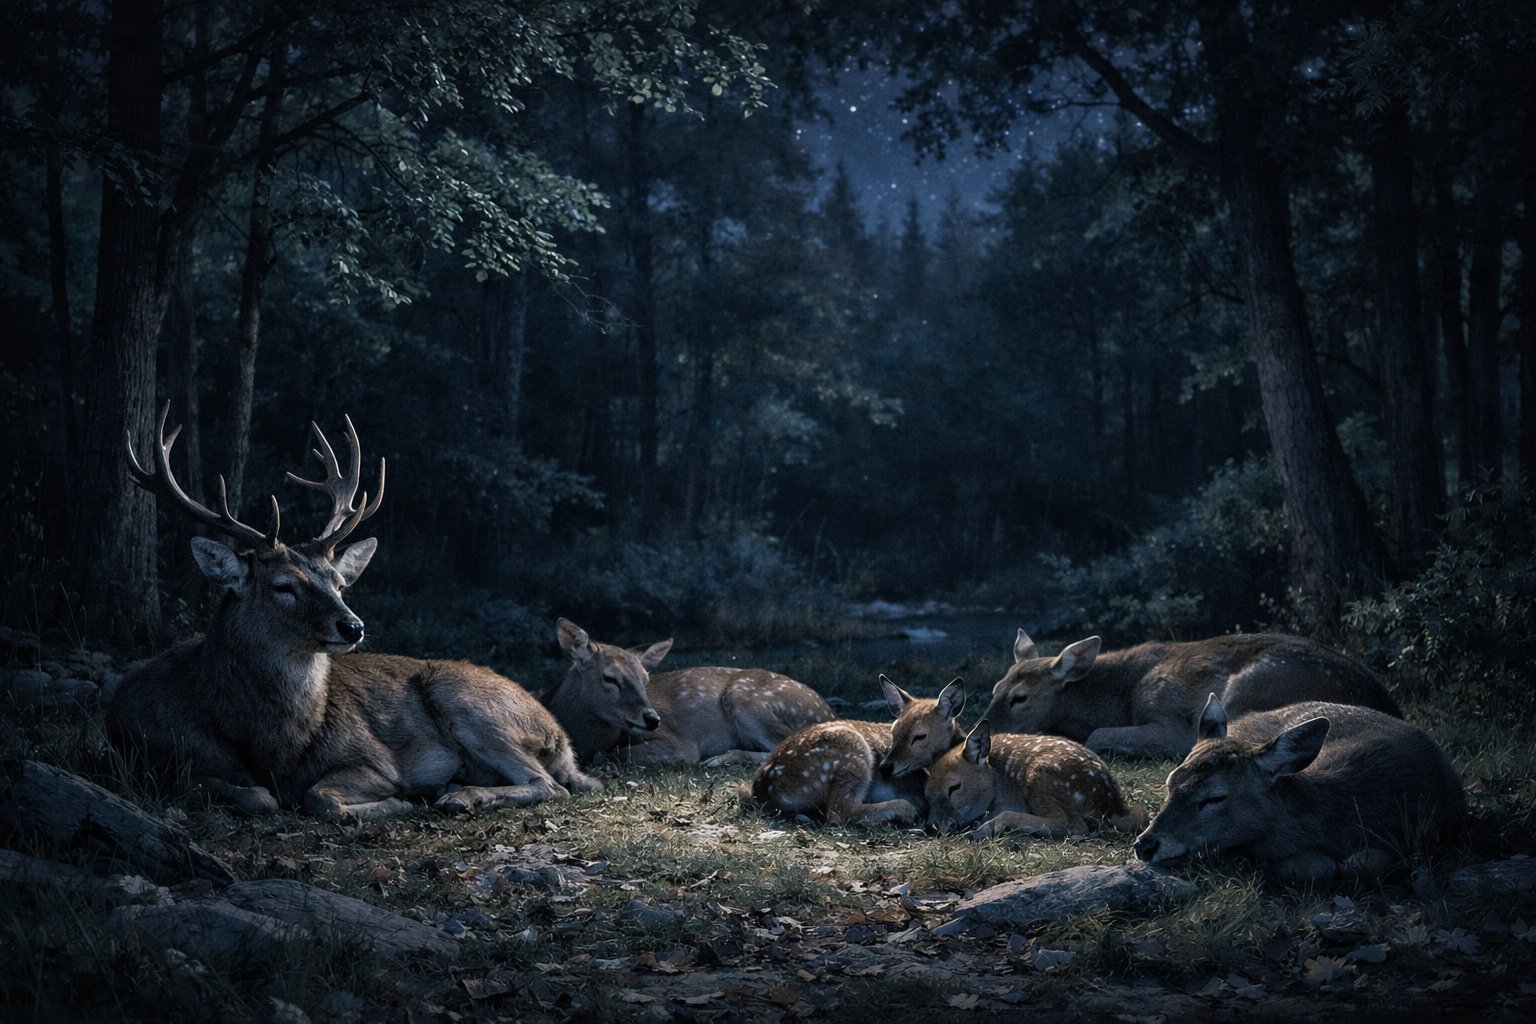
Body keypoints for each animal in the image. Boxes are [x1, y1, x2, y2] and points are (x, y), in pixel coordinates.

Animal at [106, 402, 598, 820]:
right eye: (283, 586)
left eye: (339, 582)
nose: (354, 626)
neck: (267, 743)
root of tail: (559, 734)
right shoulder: (153, 756)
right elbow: (245, 793)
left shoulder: (372, 758)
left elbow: (318, 797)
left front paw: (400, 801)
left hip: (467, 700)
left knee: (551, 784)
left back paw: (458, 795)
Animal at [543, 618, 834, 767]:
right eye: (609, 677)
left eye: (645, 679)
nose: (652, 719)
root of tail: (827, 714)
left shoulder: (680, 743)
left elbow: (618, 755)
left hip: (747, 699)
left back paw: (719, 759)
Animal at [739, 675, 966, 825]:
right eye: (894, 731)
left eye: (920, 735)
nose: (885, 767)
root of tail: (764, 791)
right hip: (851, 754)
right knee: (839, 812)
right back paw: (905, 811)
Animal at [925, 719, 1148, 838]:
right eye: (927, 795)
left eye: (954, 787)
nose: (931, 827)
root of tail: (1111, 804)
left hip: (1041, 776)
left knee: (1074, 824)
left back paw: (986, 829)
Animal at [979, 629, 1402, 759]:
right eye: (995, 689)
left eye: (1020, 698)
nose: (983, 735)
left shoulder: (1169, 720)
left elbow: (1097, 736)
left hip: (1249, 688)